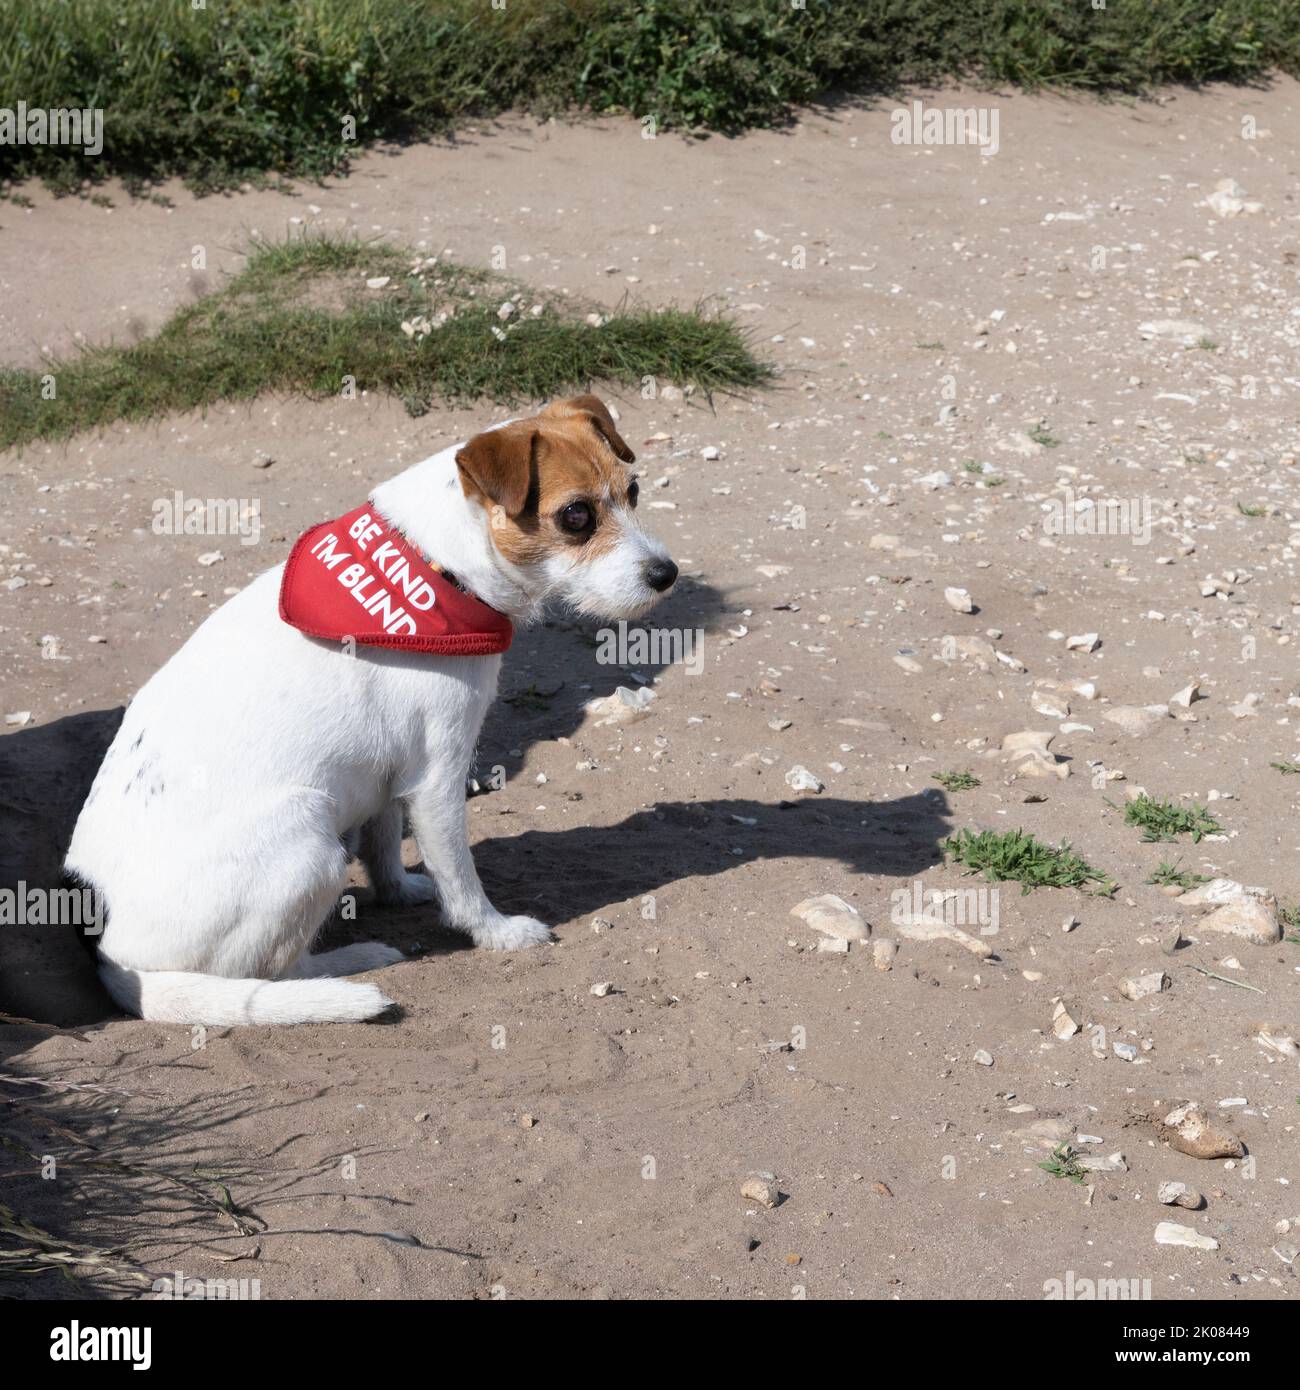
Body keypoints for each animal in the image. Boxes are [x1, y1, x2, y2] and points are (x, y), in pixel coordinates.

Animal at [66, 397, 681, 1028]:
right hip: (309, 841)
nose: (666, 574)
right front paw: (495, 932)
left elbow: (384, 845)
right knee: (269, 973)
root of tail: (114, 959)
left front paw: (401, 890)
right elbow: (459, 878)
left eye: (634, 491)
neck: (438, 565)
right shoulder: (438, 779)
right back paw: (349, 965)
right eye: (576, 516)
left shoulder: (391, 772)